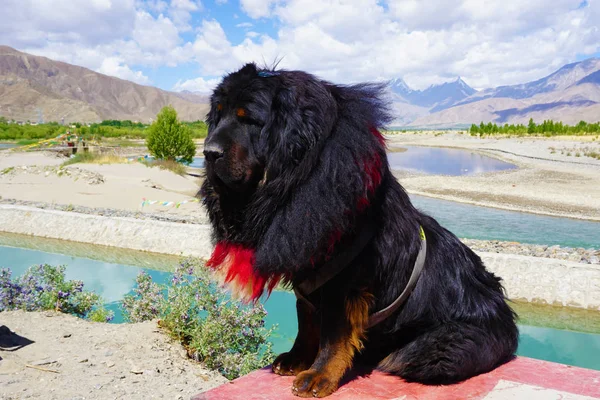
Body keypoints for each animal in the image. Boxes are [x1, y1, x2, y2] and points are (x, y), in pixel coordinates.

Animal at [199, 63, 516, 396]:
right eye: (218, 116)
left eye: (248, 119)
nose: (208, 152)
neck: (297, 178)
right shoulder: (307, 275)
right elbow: (306, 322)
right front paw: (296, 359)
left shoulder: (344, 283)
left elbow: (333, 335)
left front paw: (319, 375)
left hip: (442, 345)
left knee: (415, 355)